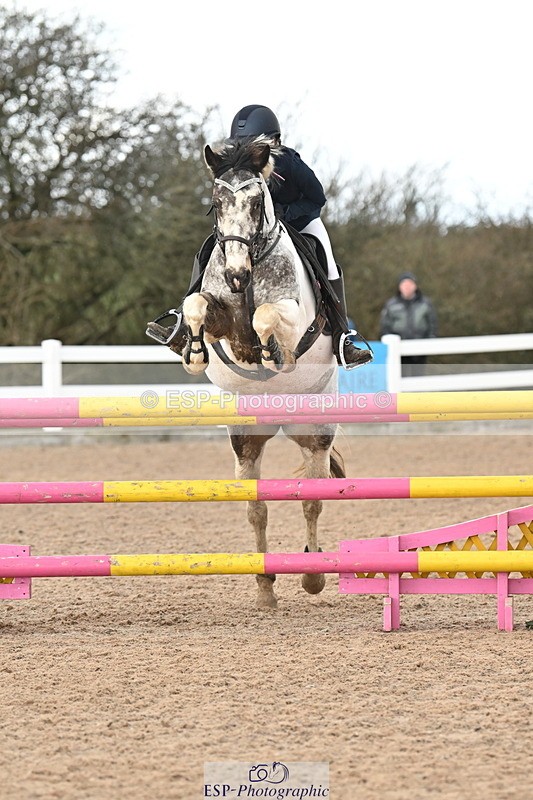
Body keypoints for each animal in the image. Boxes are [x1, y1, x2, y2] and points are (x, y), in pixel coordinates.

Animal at [147, 136, 346, 609]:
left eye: (257, 202)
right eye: (217, 201)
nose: (237, 275)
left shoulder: (293, 316)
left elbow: (266, 317)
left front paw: (272, 352)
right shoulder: (219, 312)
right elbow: (197, 306)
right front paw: (195, 351)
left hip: (316, 431)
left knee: (312, 501)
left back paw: (312, 574)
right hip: (246, 439)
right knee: (256, 508)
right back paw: (265, 585)